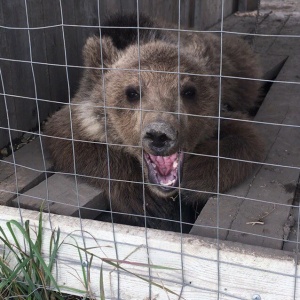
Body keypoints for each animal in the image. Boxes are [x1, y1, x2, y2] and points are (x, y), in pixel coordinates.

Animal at [43, 14, 264, 232]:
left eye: (189, 91)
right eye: (132, 92)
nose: (159, 134)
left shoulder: (221, 113)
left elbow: (245, 135)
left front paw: (195, 177)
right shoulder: (83, 114)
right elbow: (68, 138)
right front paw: (149, 202)